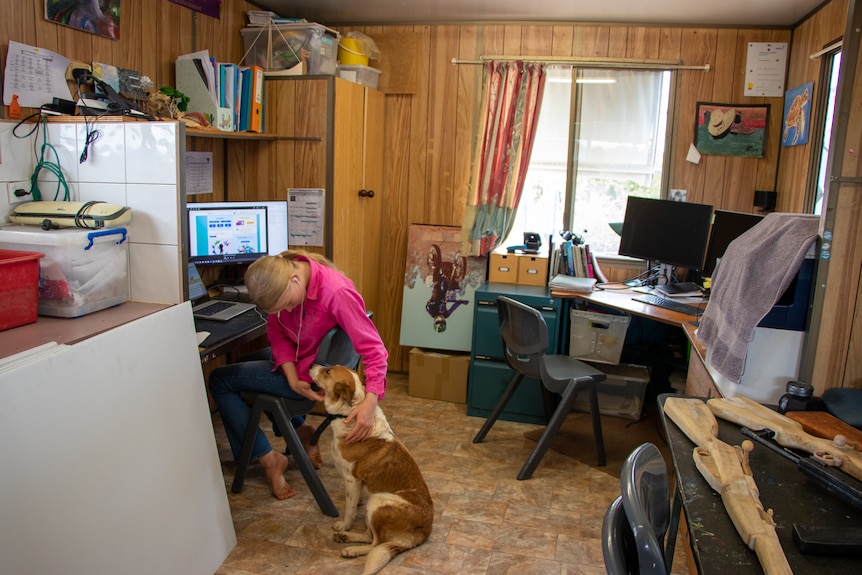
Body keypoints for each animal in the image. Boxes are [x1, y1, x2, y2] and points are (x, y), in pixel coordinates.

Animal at [310, 366, 436, 572]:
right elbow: (355, 502)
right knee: (369, 537)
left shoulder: (352, 479)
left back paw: (351, 547)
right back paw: (346, 539)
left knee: (376, 544)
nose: (312, 365)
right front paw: (354, 511)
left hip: (378, 502)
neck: (349, 411)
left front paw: (345, 525)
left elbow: (350, 509)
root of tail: (424, 531)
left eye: (327, 371)